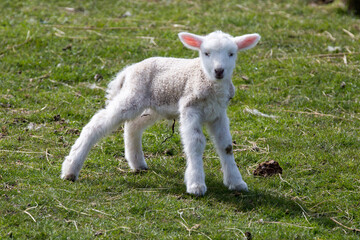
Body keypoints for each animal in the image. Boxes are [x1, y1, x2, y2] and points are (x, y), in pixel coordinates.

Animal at [61, 30, 258, 195]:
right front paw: (196, 185)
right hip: (133, 95)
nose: (219, 71)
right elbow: (195, 143)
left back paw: (137, 163)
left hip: (154, 105)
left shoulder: (218, 113)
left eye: (231, 54)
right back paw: (71, 169)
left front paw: (236, 182)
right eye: (206, 53)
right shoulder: (189, 108)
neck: (208, 82)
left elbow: (226, 146)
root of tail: (129, 70)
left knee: (133, 126)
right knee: (97, 124)